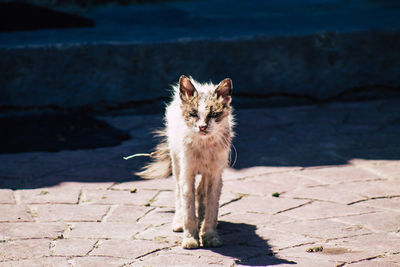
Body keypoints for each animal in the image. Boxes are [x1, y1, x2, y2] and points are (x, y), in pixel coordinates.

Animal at [137, 75, 234, 249]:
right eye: (193, 114)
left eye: (213, 115)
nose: (202, 127)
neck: (204, 146)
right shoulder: (187, 170)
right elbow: (188, 205)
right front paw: (190, 239)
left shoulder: (216, 172)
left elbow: (212, 206)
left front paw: (209, 235)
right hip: (176, 162)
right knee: (178, 192)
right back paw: (178, 222)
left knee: (201, 190)